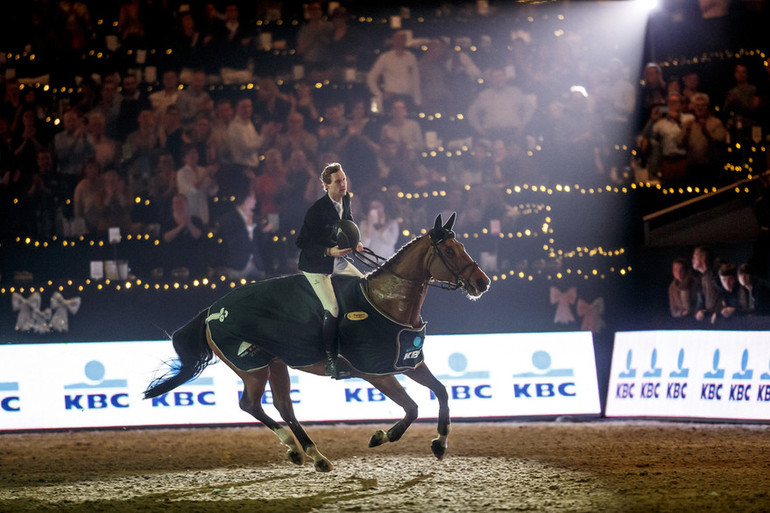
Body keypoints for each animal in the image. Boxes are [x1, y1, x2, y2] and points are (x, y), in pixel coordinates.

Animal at [143, 210, 488, 470]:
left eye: (461, 246)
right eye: (449, 251)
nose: (482, 283)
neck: (387, 302)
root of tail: (212, 311)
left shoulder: (409, 363)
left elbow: (442, 392)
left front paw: (440, 444)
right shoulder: (375, 372)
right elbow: (413, 408)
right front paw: (381, 437)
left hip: (275, 363)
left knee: (283, 406)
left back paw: (309, 454)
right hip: (252, 368)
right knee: (250, 404)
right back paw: (302, 451)